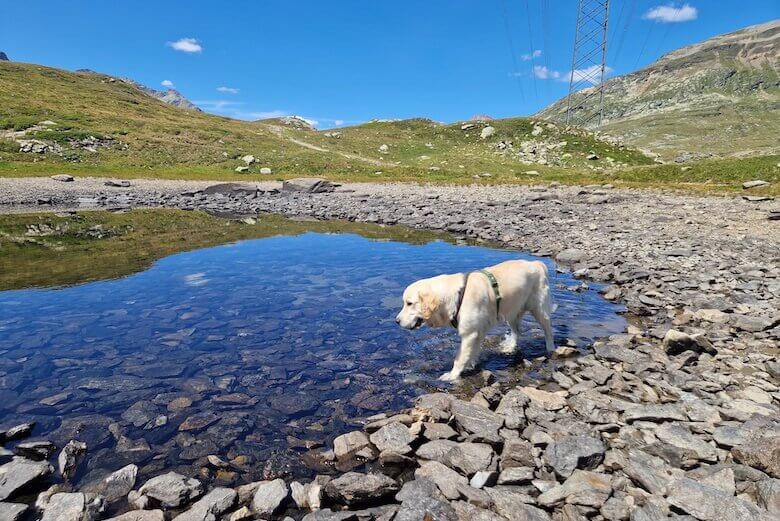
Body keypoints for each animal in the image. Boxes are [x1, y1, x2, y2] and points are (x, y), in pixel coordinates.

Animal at [396, 258, 556, 380]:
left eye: (409, 303)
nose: (396, 321)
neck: (456, 295)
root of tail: (536, 263)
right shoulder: (477, 332)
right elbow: (471, 353)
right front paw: (470, 366)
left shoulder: (469, 334)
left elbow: (459, 358)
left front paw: (452, 376)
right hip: (512, 310)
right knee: (517, 331)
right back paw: (510, 347)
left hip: (538, 309)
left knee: (548, 330)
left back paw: (550, 349)